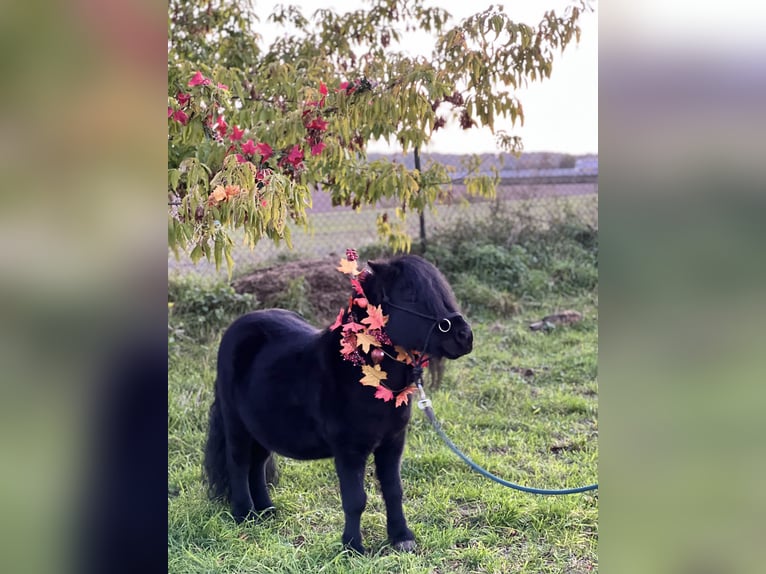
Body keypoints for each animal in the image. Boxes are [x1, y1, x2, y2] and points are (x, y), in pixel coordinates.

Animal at [207, 255, 476, 552]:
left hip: (262, 428)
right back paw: (244, 514)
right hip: (236, 424)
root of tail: (237, 328)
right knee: (239, 463)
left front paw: (401, 538)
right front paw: (353, 546)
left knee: (257, 464)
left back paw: (266, 511)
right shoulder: (349, 450)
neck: (362, 372)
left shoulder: (393, 443)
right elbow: (355, 500)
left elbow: (394, 491)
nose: (464, 336)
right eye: (411, 294)